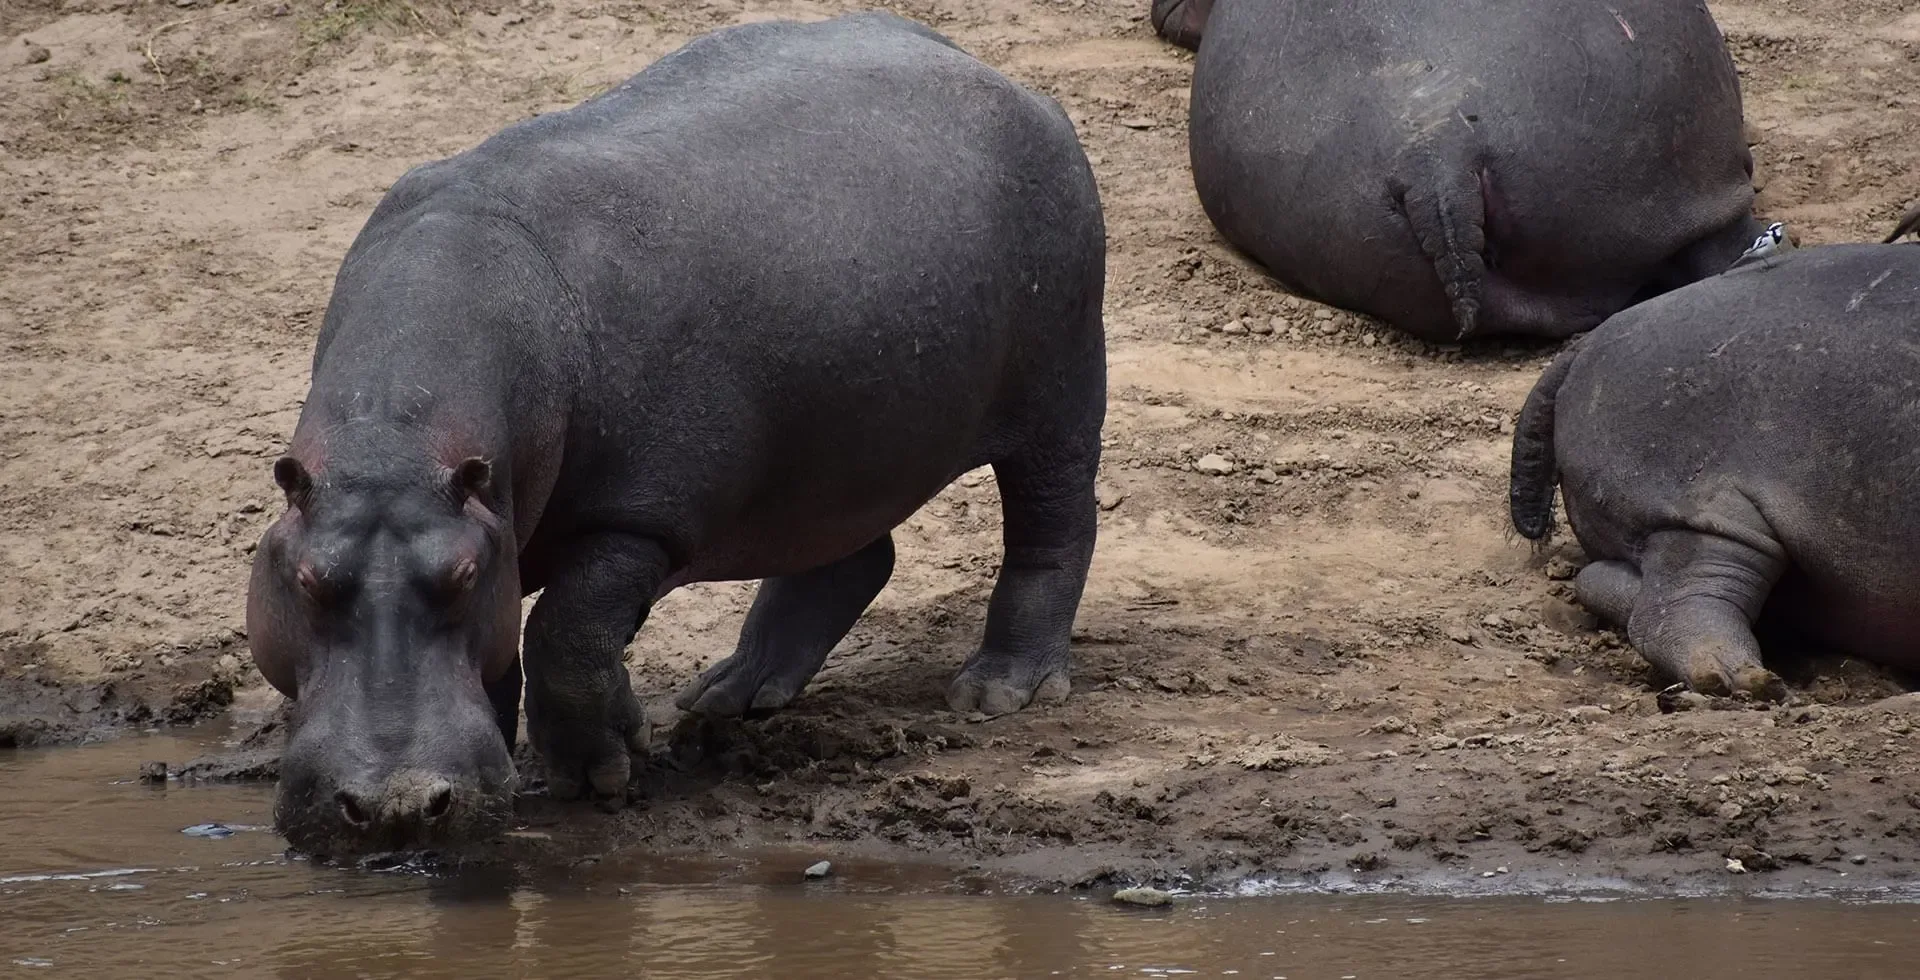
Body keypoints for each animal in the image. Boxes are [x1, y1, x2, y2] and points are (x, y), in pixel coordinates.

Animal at [245, 12, 1107, 858]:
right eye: (307, 581)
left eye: (461, 575)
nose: (395, 806)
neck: (396, 440)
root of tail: (1010, 81)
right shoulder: (497, 528)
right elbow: (510, 663)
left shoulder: (640, 516)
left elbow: (566, 635)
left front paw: (599, 772)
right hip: (829, 457)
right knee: (852, 556)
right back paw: (730, 694)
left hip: (1060, 388)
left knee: (1052, 525)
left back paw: (999, 689)